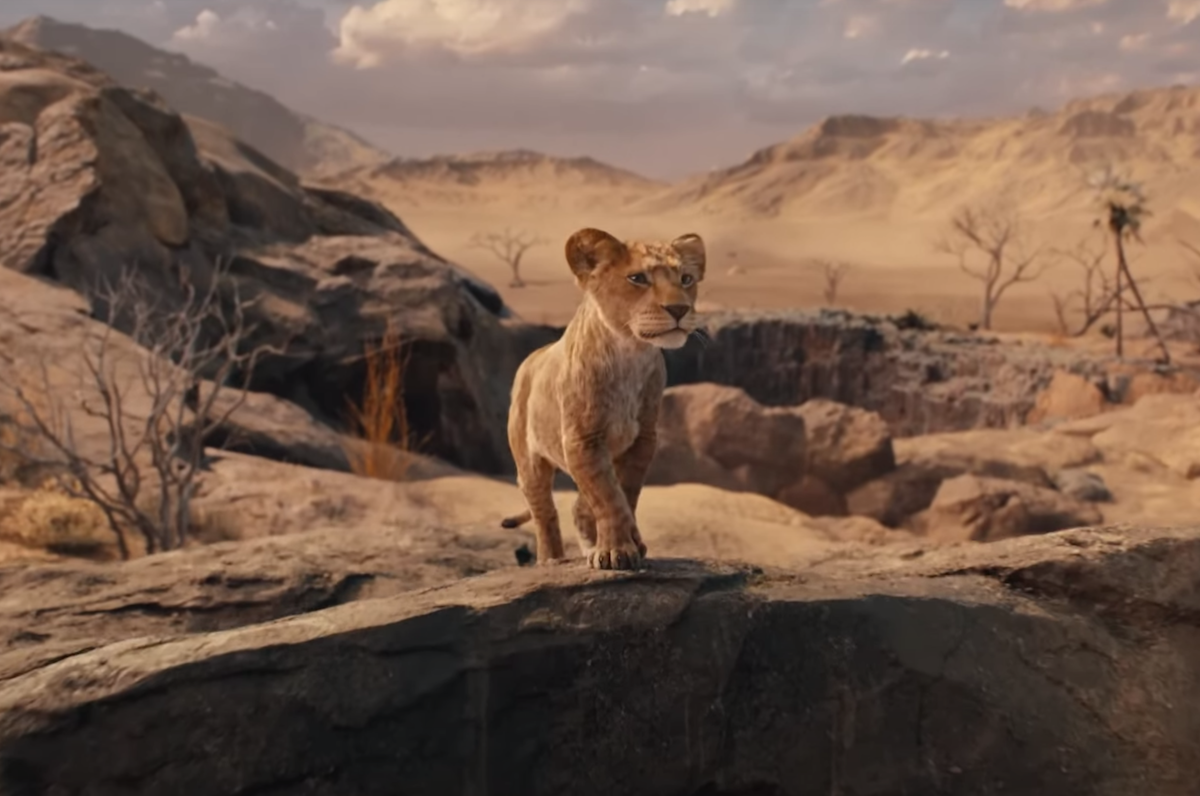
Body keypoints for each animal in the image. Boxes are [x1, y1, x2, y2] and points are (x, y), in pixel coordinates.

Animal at [500, 227, 706, 570]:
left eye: (686, 279)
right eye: (637, 278)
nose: (679, 309)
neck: (630, 354)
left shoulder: (642, 439)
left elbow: (624, 493)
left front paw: (628, 545)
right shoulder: (582, 439)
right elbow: (608, 497)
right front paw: (616, 551)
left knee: (579, 506)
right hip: (529, 461)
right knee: (545, 512)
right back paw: (551, 559)